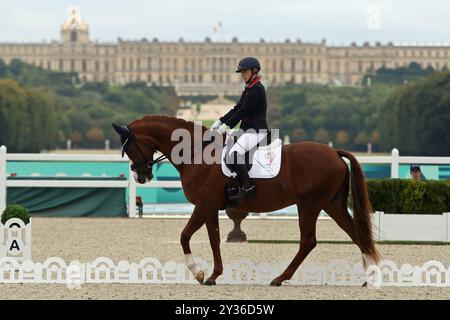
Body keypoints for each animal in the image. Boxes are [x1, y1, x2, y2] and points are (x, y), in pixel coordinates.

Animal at [112, 115, 380, 288]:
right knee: (356, 234)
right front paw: (214, 276)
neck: (197, 153)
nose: (141, 176)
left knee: (308, 241)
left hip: (309, 205)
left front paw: (199, 273)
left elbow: (185, 236)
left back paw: (279, 279)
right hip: (331, 205)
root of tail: (334, 152)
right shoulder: (210, 208)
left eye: (130, 148)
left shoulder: (204, 205)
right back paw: (369, 277)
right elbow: (214, 240)